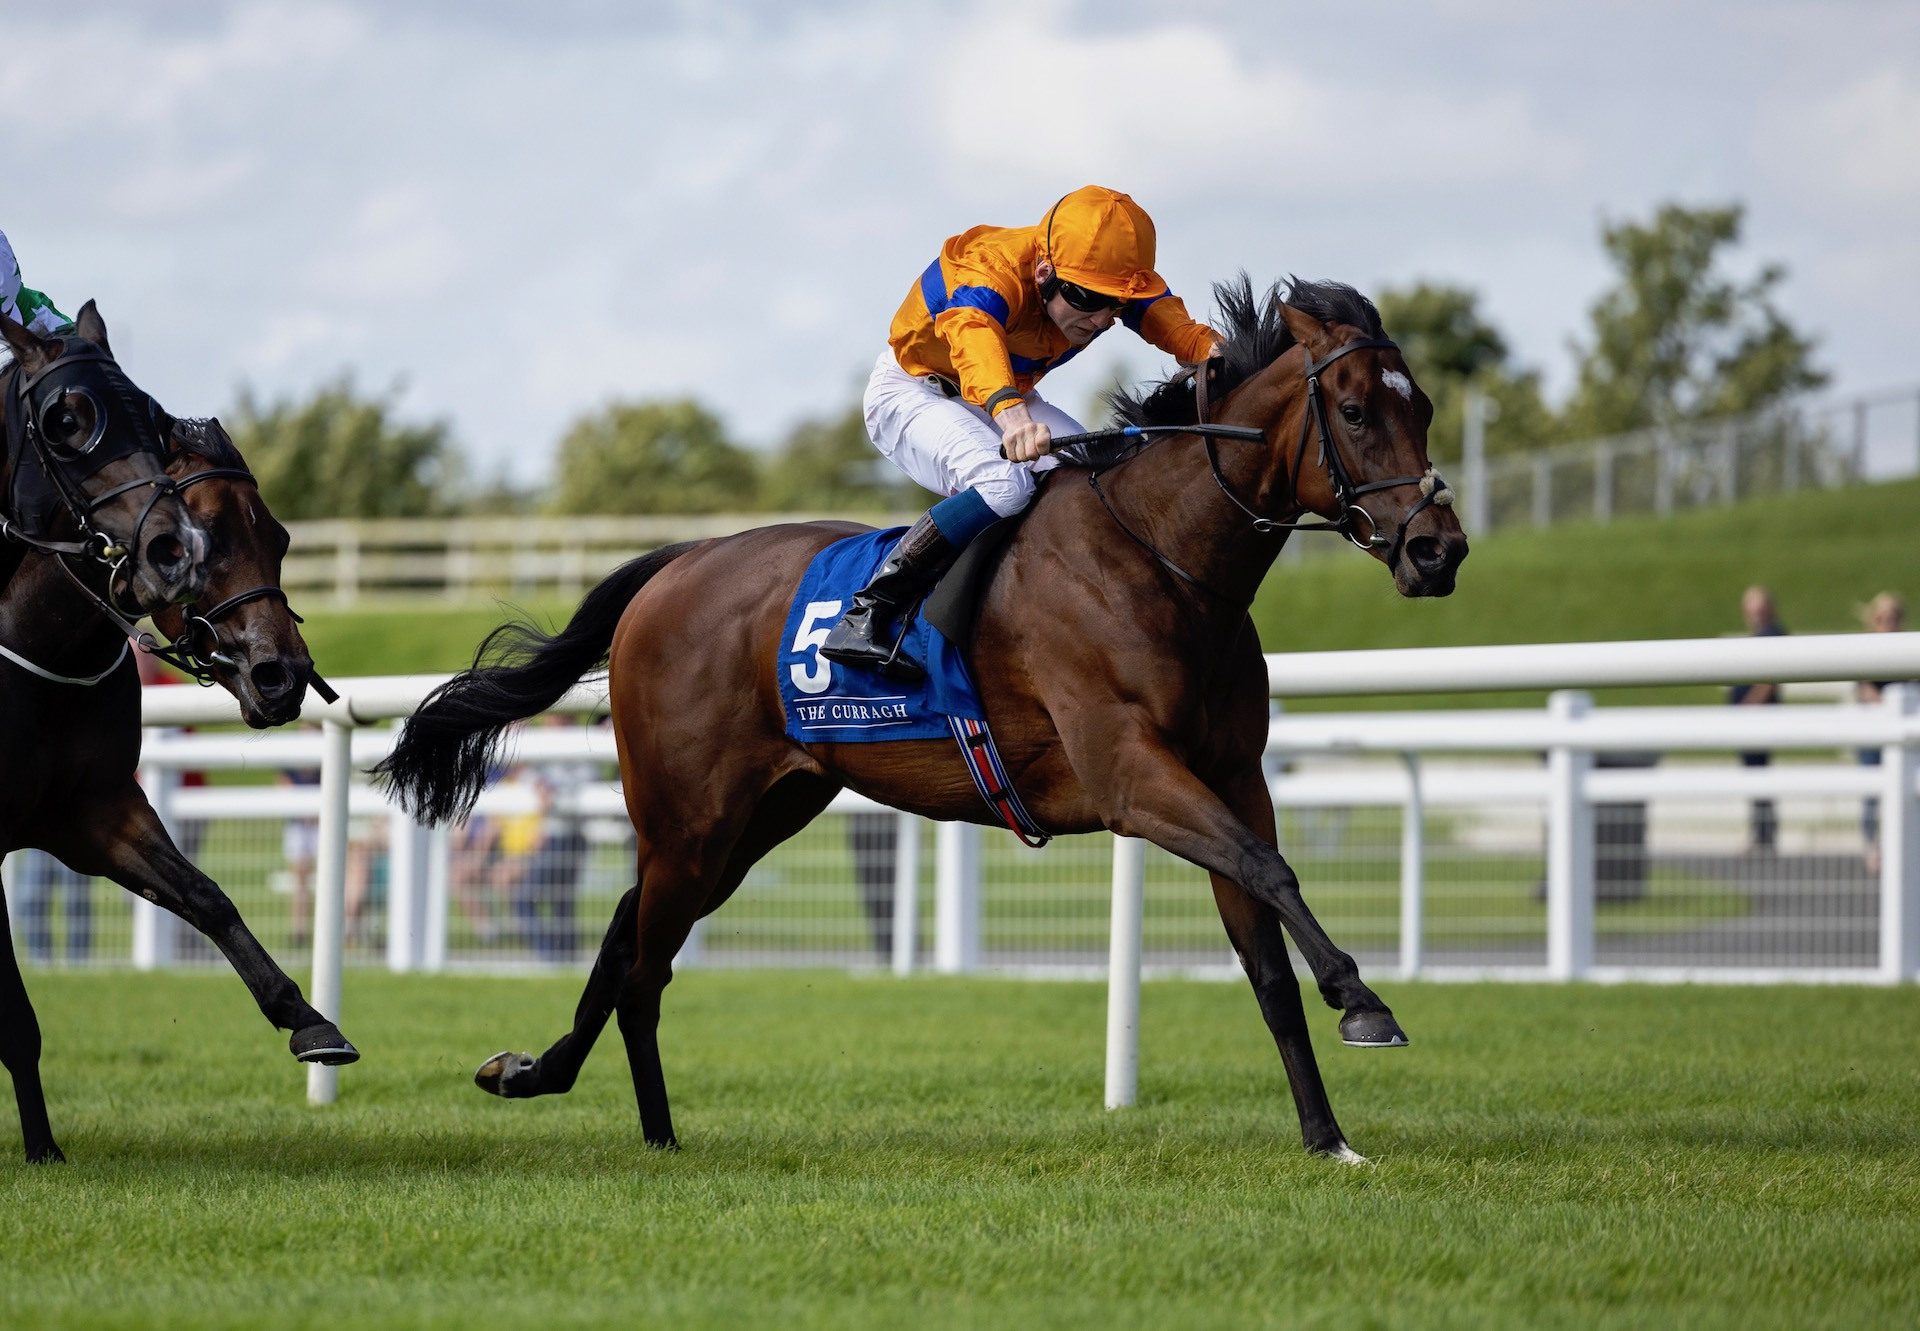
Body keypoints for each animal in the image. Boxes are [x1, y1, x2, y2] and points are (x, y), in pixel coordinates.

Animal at [0, 305, 357, 1160]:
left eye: (281, 537)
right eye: (211, 534)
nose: (280, 674)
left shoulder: (92, 811)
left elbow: (208, 896)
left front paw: (310, 1021)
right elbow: (13, 1013)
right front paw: (41, 1146)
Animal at [382, 282, 1474, 1160]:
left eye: (1421, 405)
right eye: (1353, 408)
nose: (1439, 549)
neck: (1161, 559)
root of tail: (678, 561)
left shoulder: (1233, 774)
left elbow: (1265, 958)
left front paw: (1329, 1136)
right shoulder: (1132, 774)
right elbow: (1270, 870)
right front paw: (1366, 1001)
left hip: (749, 818)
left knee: (625, 937)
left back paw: (574, 1090)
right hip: (690, 817)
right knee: (642, 961)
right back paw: (630, 1120)